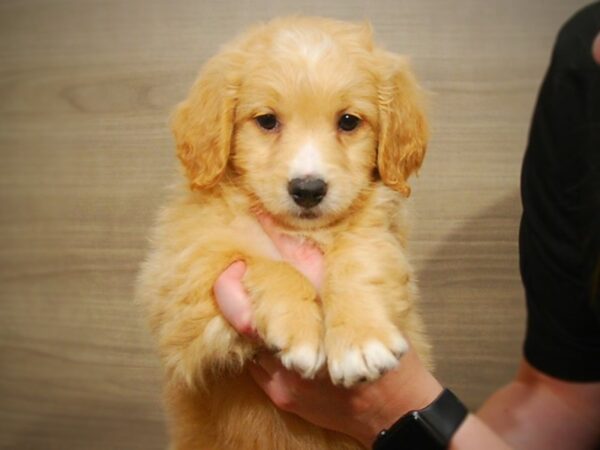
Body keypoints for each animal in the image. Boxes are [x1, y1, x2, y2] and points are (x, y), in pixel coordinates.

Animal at [138, 14, 432, 450]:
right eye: (267, 121)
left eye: (348, 121)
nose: (308, 189)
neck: (300, 232)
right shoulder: (179, 287)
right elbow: (268, 264)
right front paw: (300, 330)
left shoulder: (380, 235)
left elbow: (360, 261)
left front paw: (361, 340)